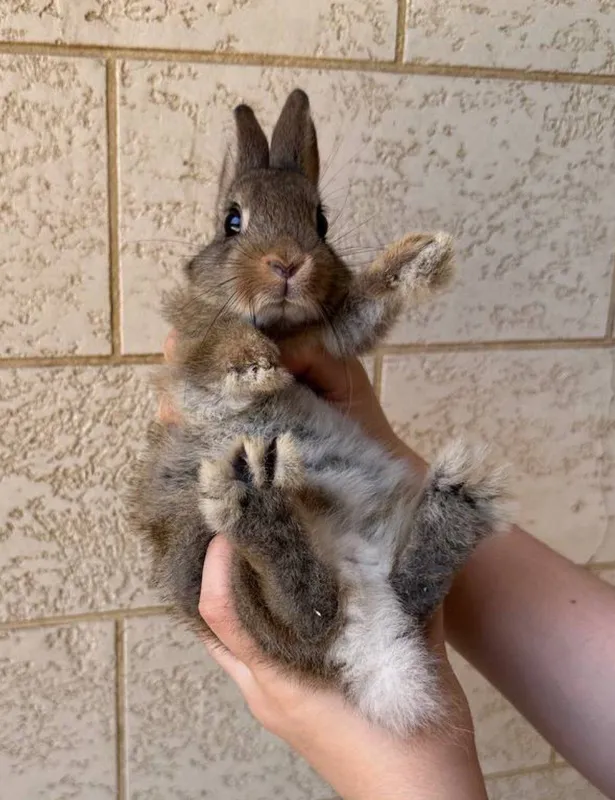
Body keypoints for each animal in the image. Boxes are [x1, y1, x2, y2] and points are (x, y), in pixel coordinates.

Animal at [130, 89, 509, 735]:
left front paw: (422, 256)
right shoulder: (196, 349)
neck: (282, 326)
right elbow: (216, 351)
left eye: (321, 222)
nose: (287, 263)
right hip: (210, 561)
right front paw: (253, 366)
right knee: (308, 618)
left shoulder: (331, 335)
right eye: (232, 221)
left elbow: (367, 304)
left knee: (374, 601)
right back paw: (258, 497)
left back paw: (456, 501)